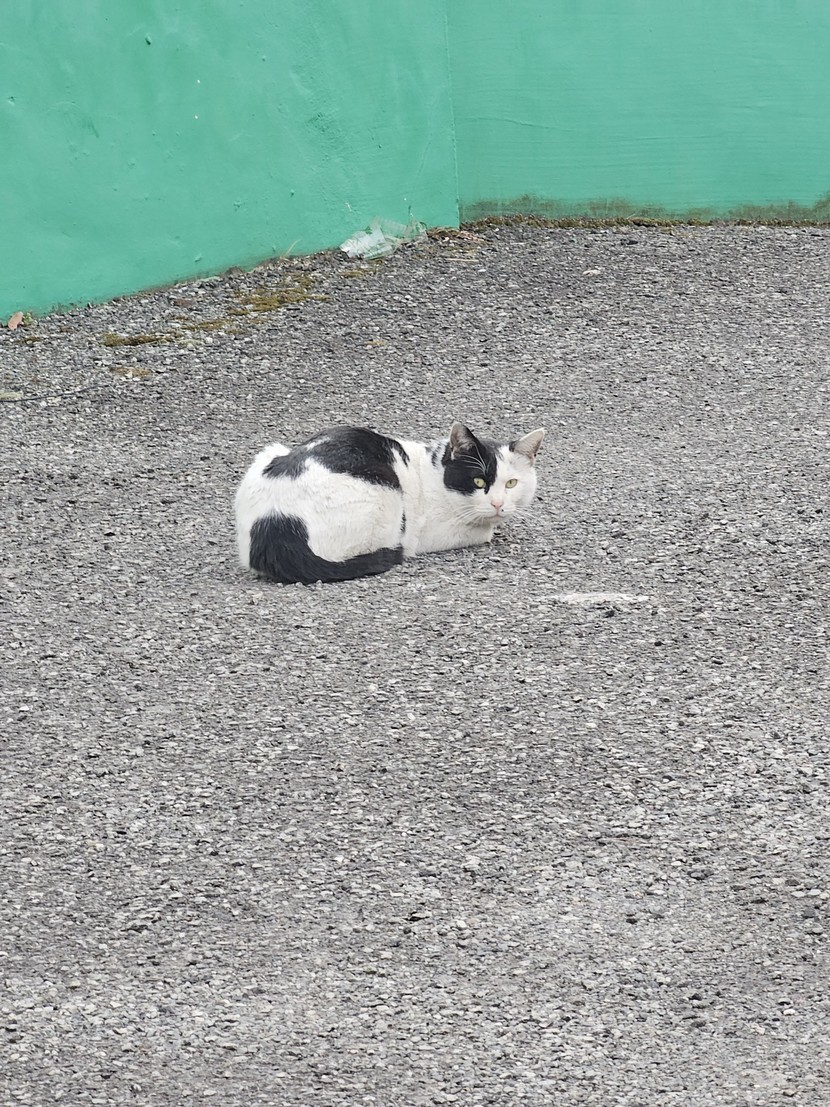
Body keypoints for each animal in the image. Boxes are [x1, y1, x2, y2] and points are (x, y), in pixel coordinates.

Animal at [234, 421, 545, 584]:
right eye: (479, 482)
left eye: (511, 483)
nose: (498, 504)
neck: (432, 472)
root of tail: (274, 520)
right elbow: (484, 531)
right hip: (387, 498)